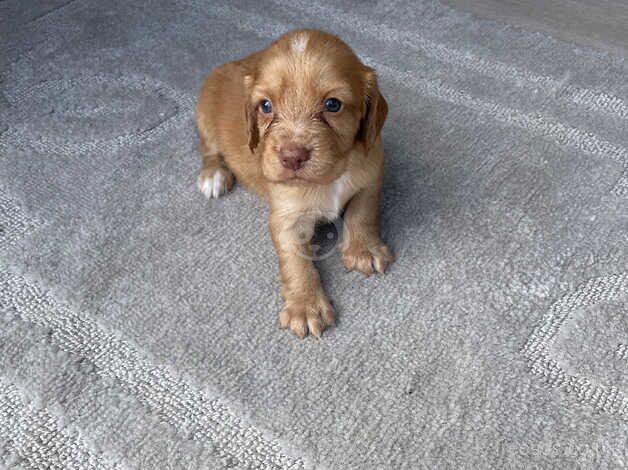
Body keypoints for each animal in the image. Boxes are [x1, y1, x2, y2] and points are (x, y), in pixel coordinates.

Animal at [196, 28, 392, 338]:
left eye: (332, 105)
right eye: (265, 106)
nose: (292, 156)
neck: (329, 176)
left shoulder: (371, 176)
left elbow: (362, 214)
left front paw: (364, 249)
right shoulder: (286, 218)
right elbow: (296, 262)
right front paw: (306, 305)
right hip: (204, 117)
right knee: (209, 149)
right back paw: (214, 175)